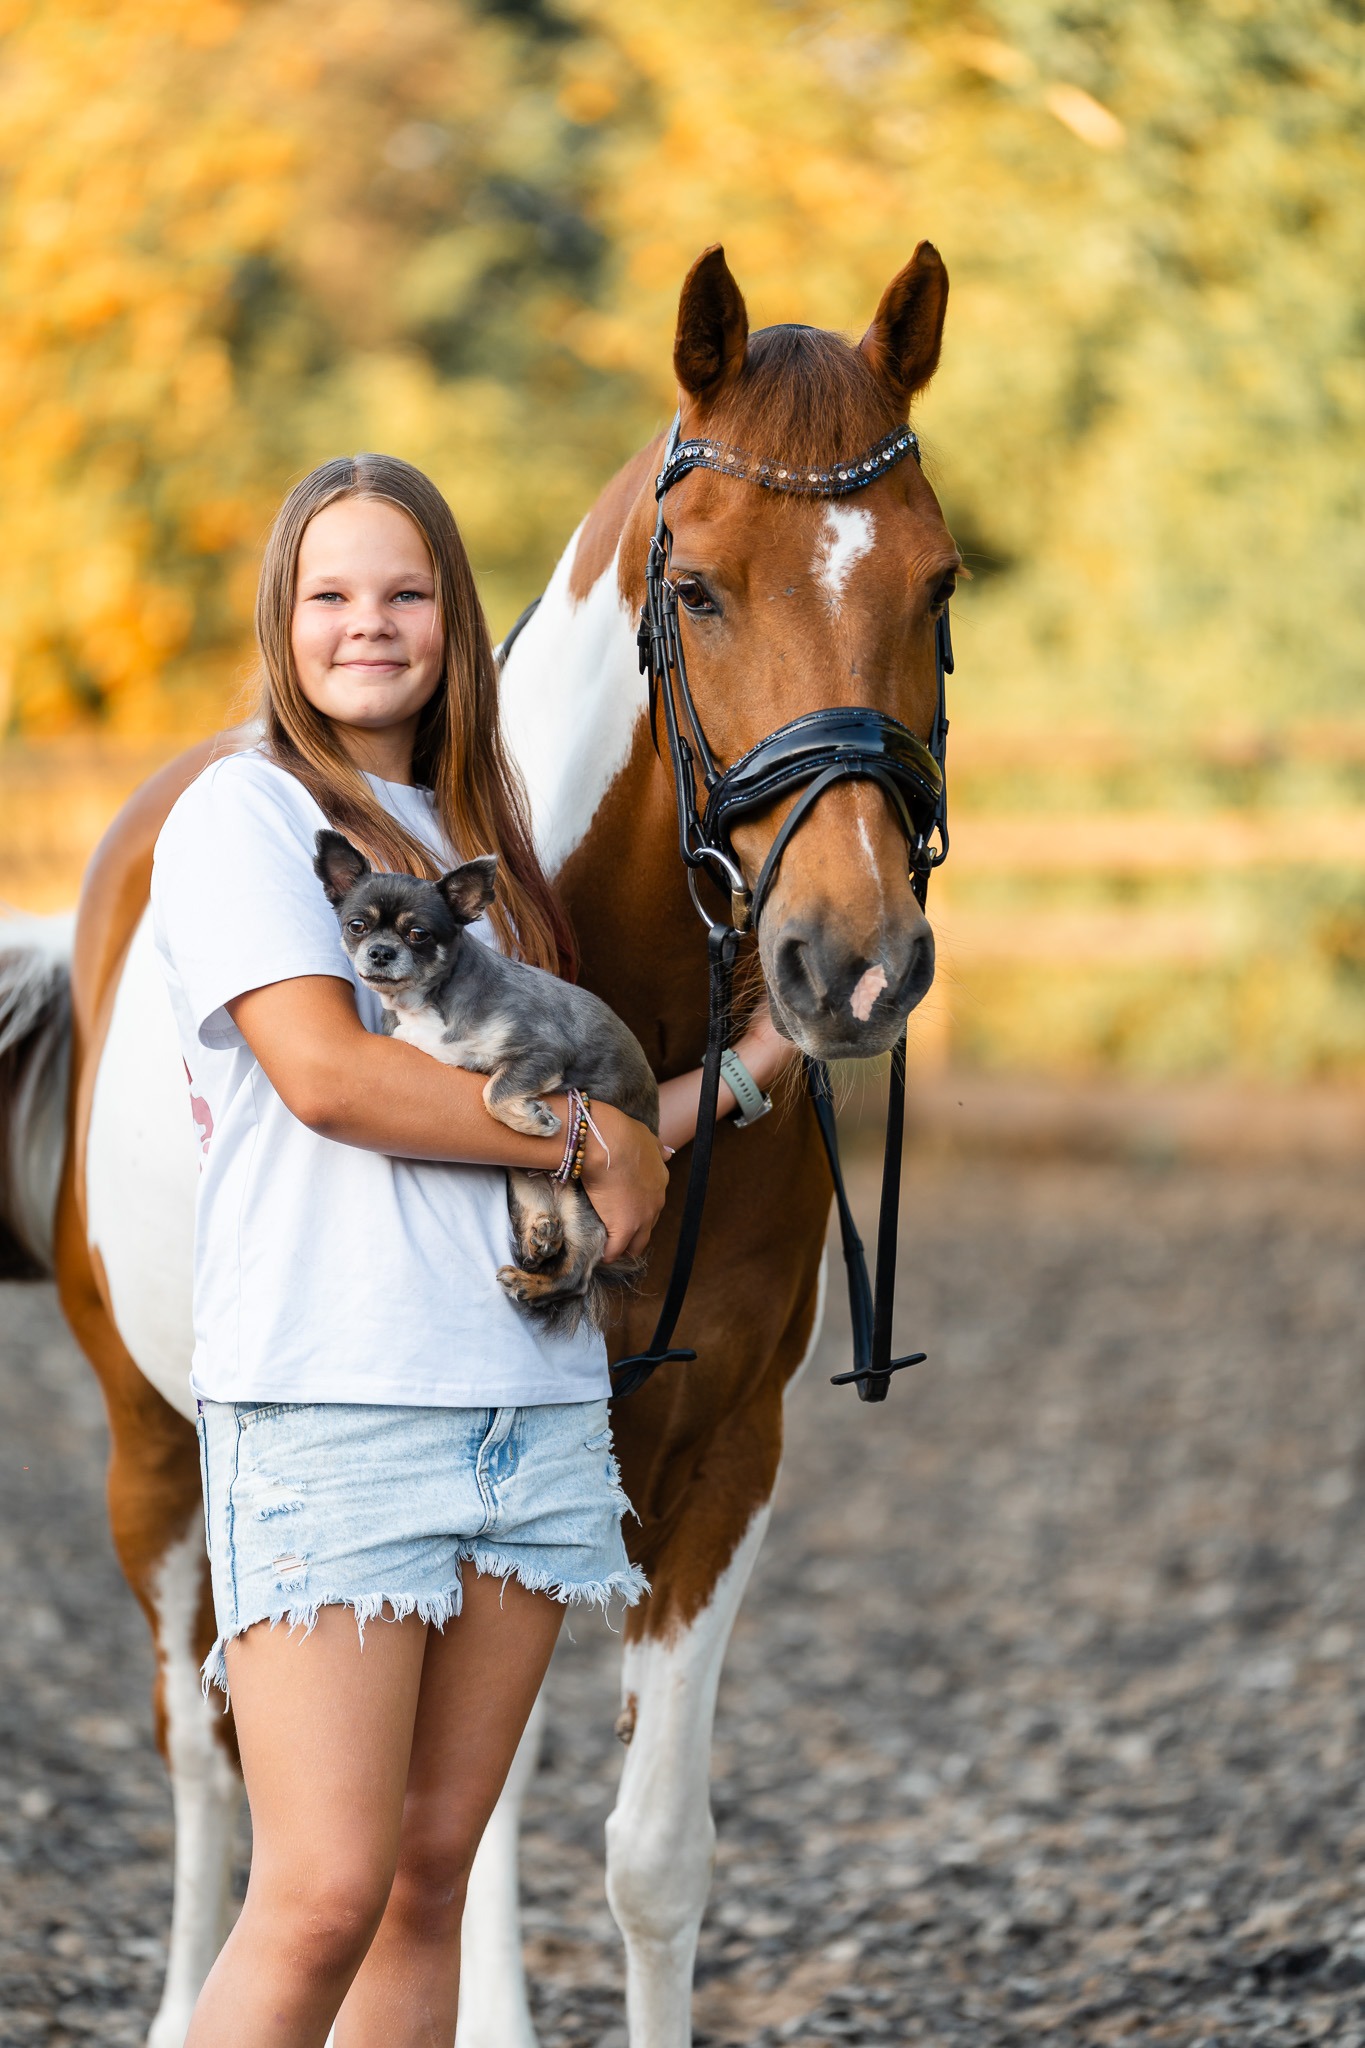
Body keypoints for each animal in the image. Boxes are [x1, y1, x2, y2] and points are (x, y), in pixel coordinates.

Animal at [0, 239, 957, 2046]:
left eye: (940, 585)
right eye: (700, 589)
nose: (854, 964)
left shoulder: (723, 1457)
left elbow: (650, 1853)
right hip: (154, 1450)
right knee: (206, 1756)